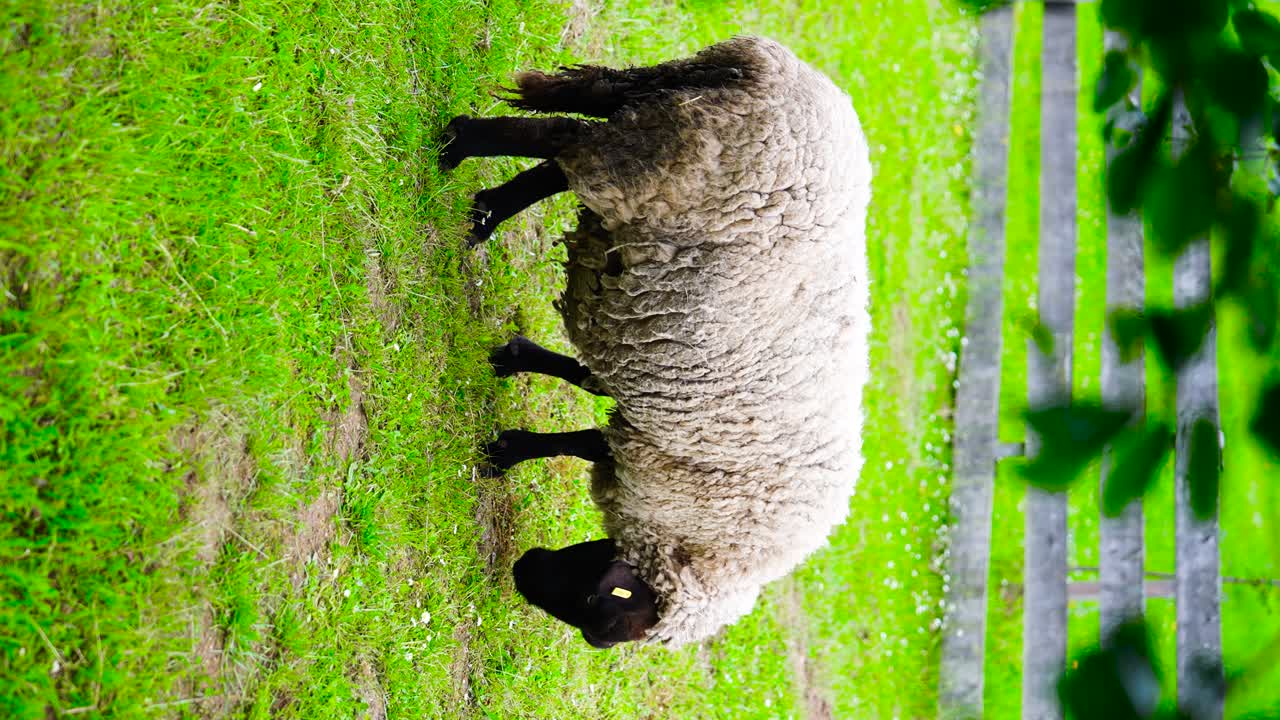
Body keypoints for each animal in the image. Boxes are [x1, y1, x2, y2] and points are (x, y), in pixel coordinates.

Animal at [441, 36, 871, 648]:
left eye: (594, 612)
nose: (523, 570)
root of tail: (773, 73)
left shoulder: (649, 407)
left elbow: (585, 392)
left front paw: (513, 370)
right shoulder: (654, 450)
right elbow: (581, 440)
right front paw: (505, 452)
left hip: (653, 129)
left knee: (564, 153)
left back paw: (482, 212)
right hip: (670, 161)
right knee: (560, 137)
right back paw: (458, 147)